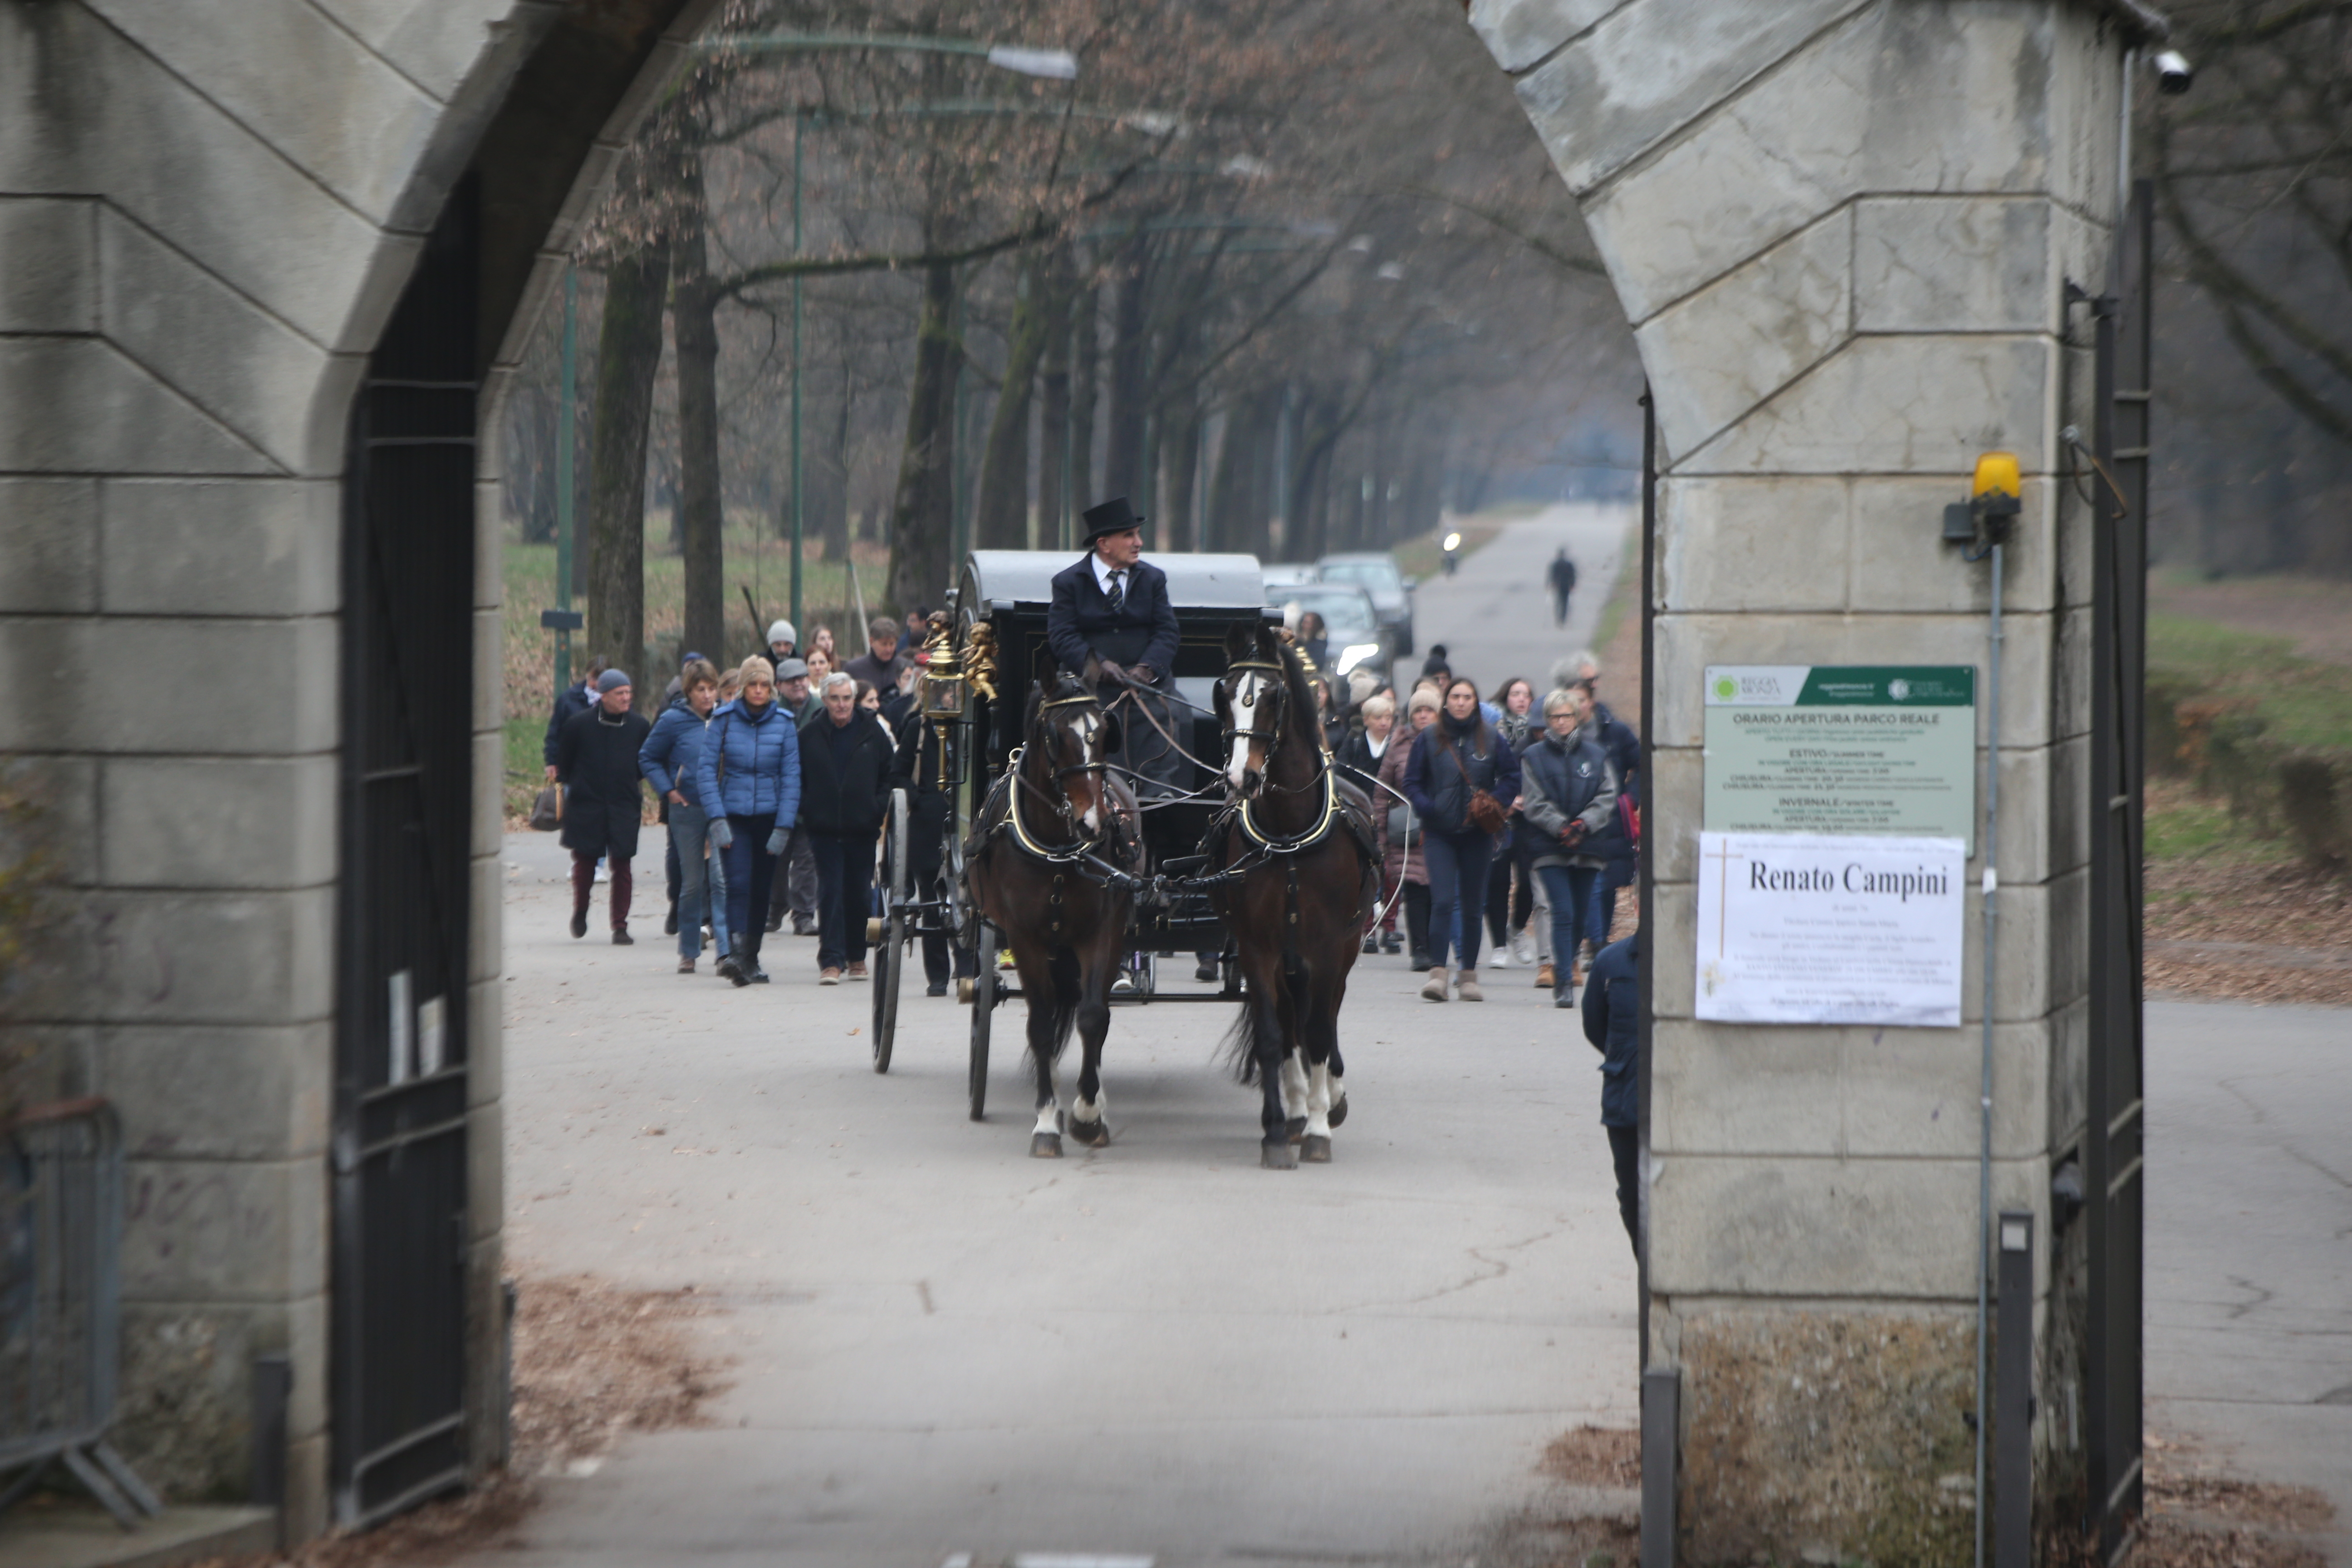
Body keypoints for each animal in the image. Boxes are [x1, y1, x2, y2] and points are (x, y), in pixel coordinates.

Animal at [955, 658, 1138, 1161]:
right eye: (1056, 736)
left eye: (1104, 732)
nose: (1094, 823)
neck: (1058, 846)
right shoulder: (1025, 937)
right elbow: (1039, 1024)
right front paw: (1045, 1123)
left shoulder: (1101, 931)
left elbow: (1094, 1017)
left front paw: (1088, 1115)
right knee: (1050, 1012)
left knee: (1088, 1011)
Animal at [1204, 620, 1383, 1166]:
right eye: (1224, 694)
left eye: (1272, 696)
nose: (1241, 777)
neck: (1287, 835)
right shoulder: (1258, 947)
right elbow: (1273, 1036)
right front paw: (1279, 1129)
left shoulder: (1325, 947)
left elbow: (1320, 1031)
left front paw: (1322, 1127)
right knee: (1292, 1023)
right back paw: (1300, 1108)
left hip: (1343, 949)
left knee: (1324, 1017)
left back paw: (1328, 1100)